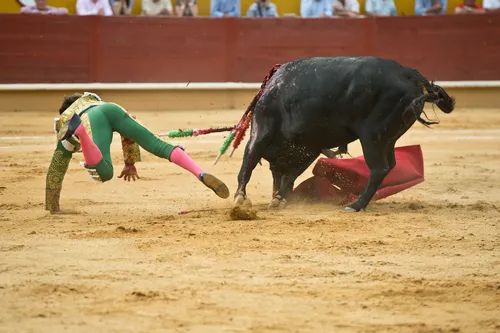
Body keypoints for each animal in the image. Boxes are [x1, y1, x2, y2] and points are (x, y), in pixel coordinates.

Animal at [232, 55, 456, 210]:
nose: (273, 196)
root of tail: (408, 74)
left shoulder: (261, 133)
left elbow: (247, 165)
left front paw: (240, 199)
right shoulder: (309, 149)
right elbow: (290, 175)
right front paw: (278, 198)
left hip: (371, 136)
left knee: (379, 168)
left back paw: (356, 206)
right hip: (388, 137)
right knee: (390, 165)